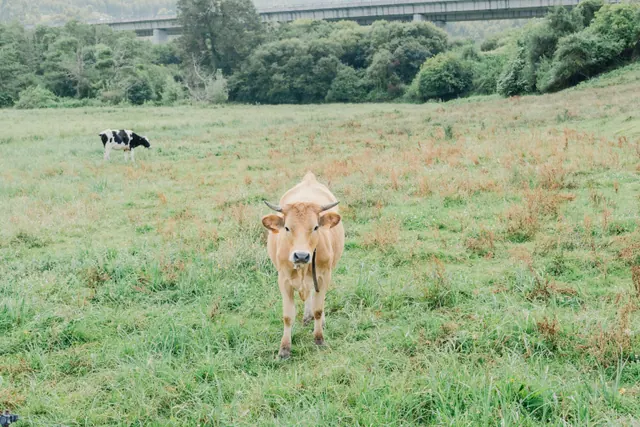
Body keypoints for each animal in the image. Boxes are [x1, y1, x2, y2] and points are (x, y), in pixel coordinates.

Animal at [262, 172, 344, 359]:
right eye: (286, 228)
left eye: (315, 227)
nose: (301, 255)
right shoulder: (283, 280)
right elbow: (287, 316)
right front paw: (284, 349)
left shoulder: (324, 276)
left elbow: (318, 309)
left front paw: (319, 339)